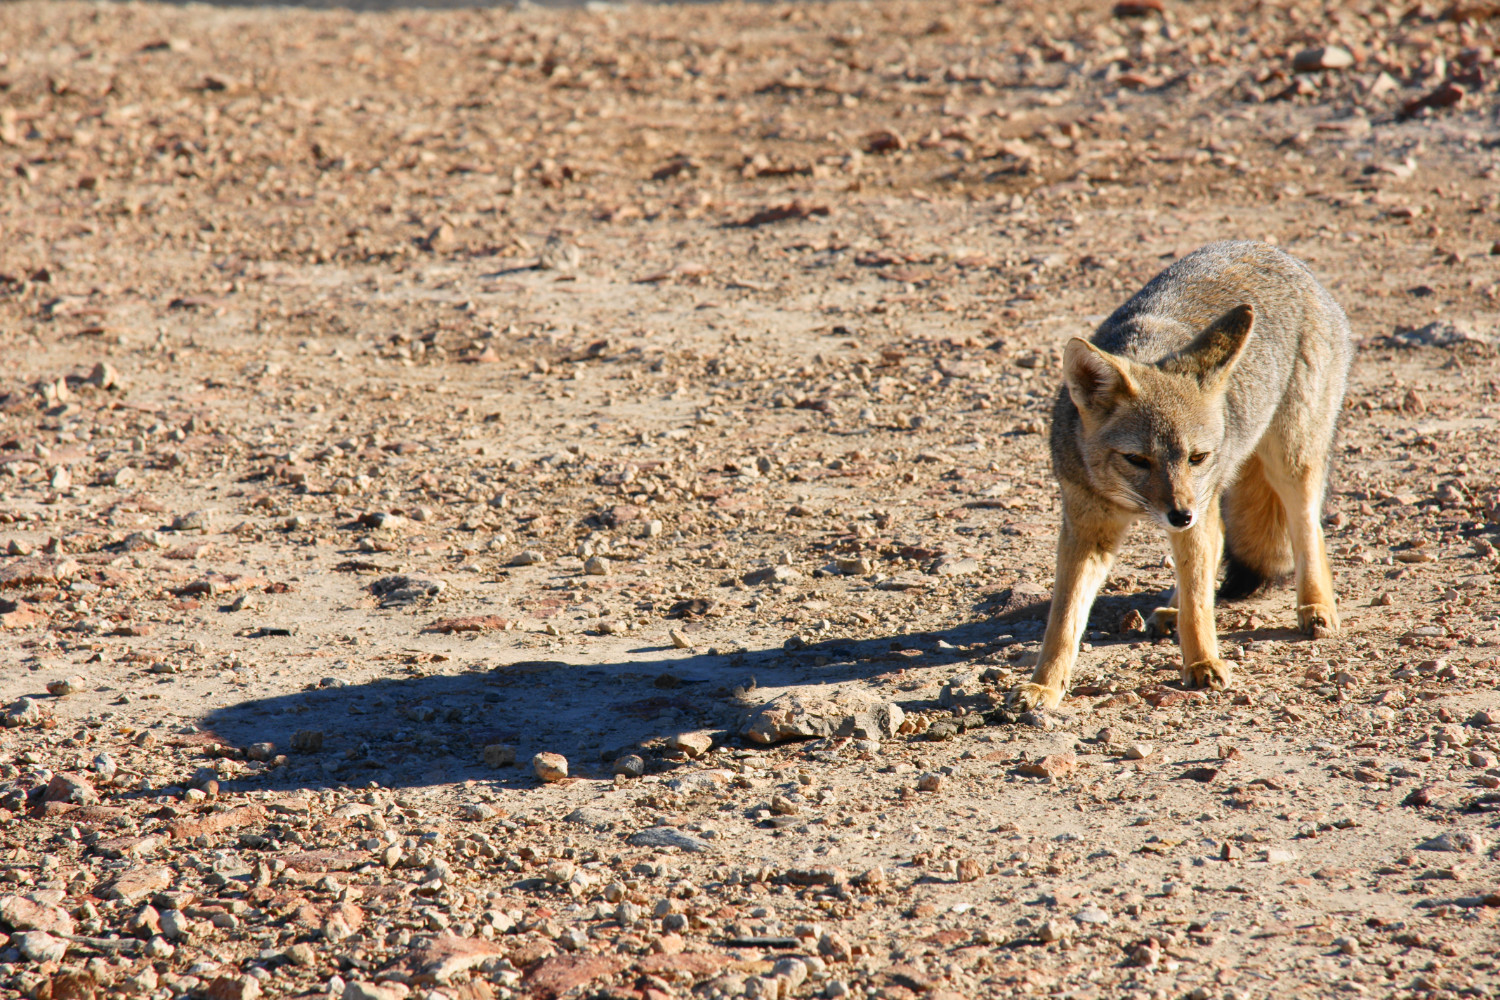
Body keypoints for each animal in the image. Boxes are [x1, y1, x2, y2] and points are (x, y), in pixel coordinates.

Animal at [1014, 242, 1356, 710]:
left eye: (1197, 457)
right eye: (1137, 460)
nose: (1179, 515)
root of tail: (1272, 250)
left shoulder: (1197, 506)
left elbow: (1198, 601)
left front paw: (1202, 663)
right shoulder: (1087, 529)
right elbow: (1064, 620)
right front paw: (1044, 686)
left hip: (1286, 462)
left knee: (1307, 530)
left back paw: (1316, 608)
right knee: (1219, 546)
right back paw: (1172, 609)